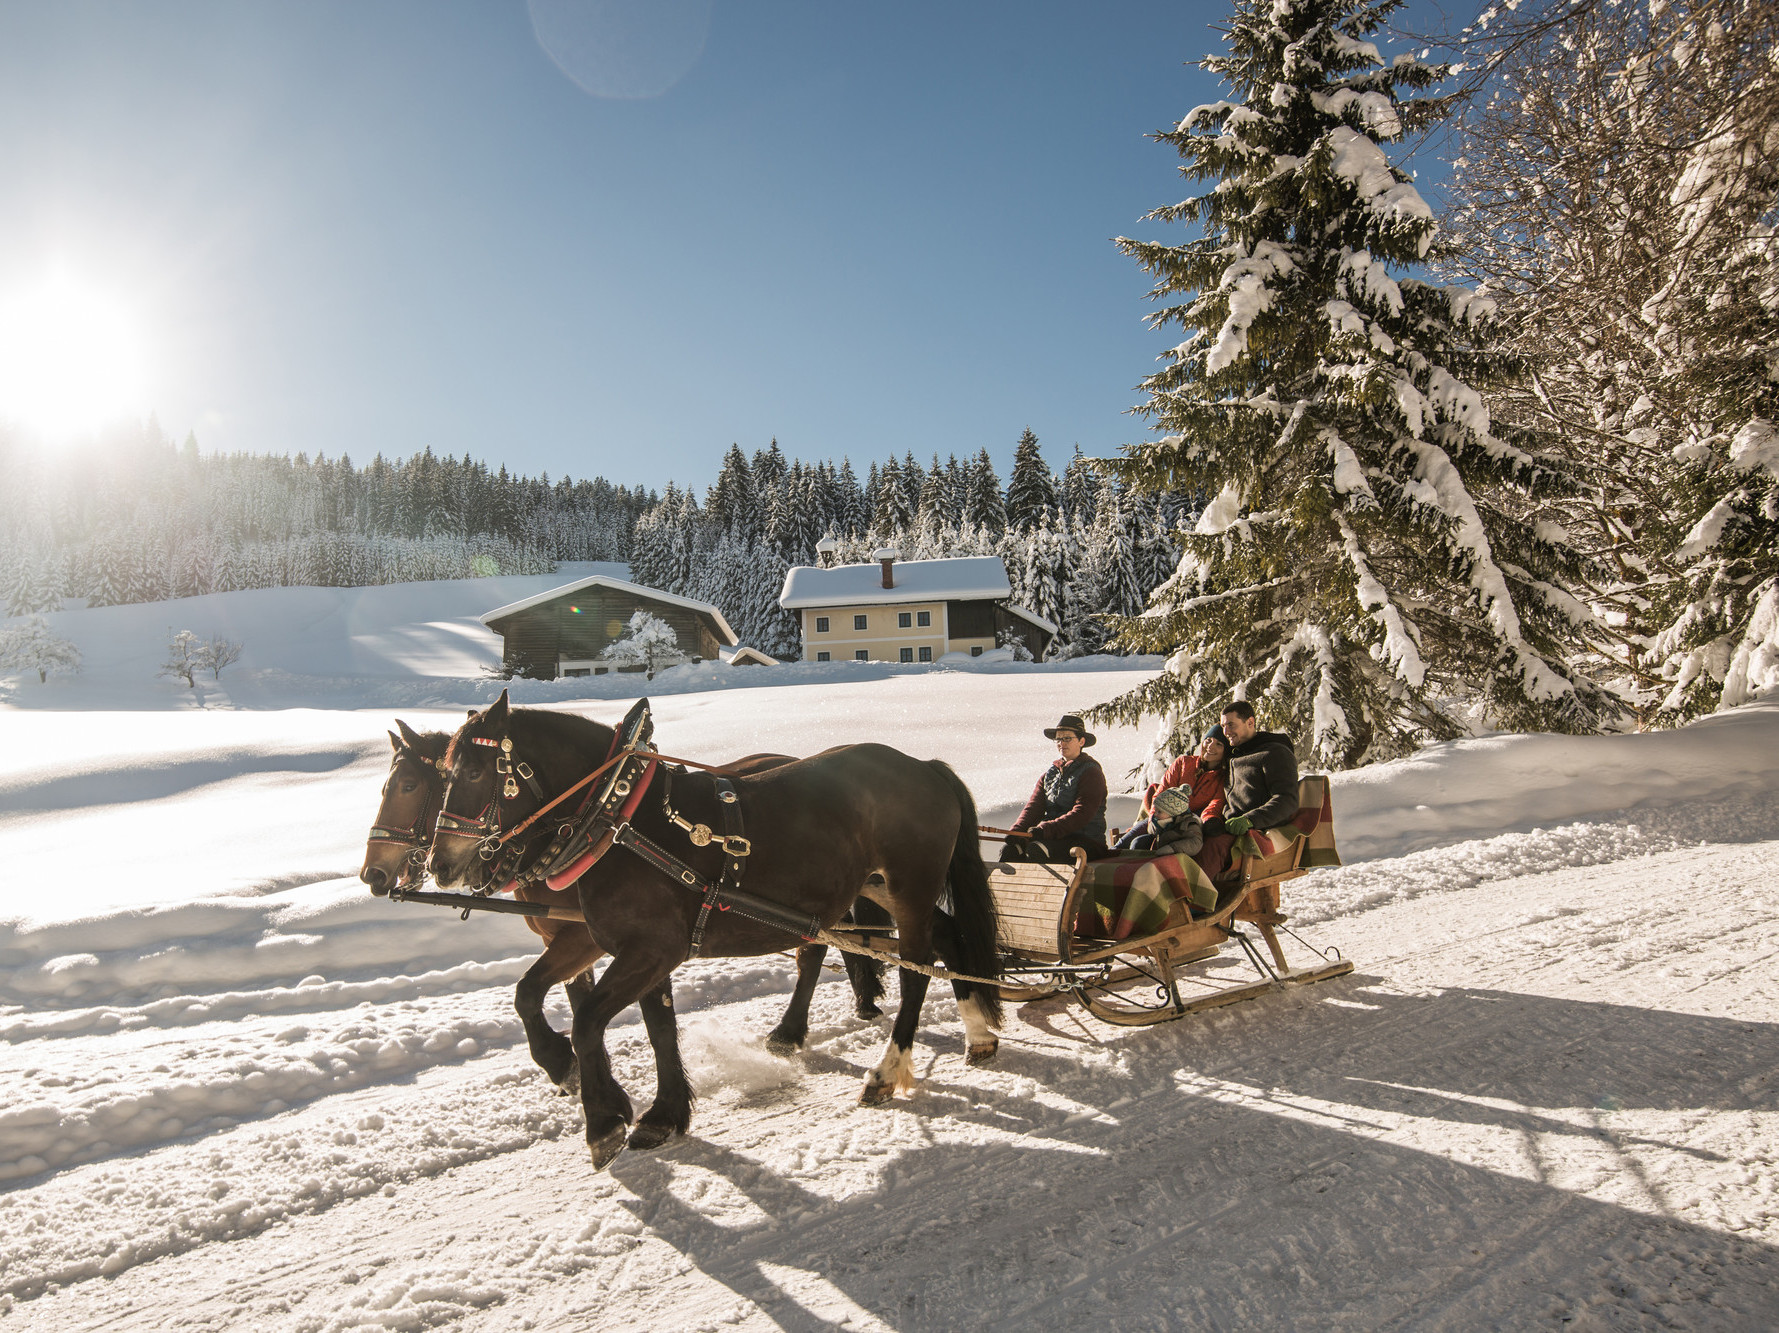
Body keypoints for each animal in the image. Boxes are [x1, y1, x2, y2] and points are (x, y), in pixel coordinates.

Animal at [357, 722, 885, 1089]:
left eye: (408, 786)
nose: (371, 874)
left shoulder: (595, 935)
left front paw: (578, 1068)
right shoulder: (569, 938)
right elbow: (570, 996)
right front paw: (583, 1068)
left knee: (817, 949)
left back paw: (800, 1027)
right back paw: (859, 1000)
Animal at [428, 690, 1003, 1167]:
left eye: (474, 772)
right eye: (442, 775)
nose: (439, 864)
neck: (617, 819)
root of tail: (925, 766)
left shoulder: (651, 949)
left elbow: (589, 1020)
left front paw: (603, 1121)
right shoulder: (611, 942)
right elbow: (556, 1001)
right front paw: (649, 1108)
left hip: (909, 888)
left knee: (916, 971)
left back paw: (886, 1071)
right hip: (881, 888)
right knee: (945, 937)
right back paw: (977, 1032)